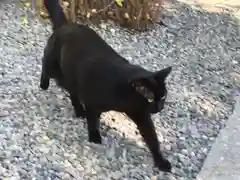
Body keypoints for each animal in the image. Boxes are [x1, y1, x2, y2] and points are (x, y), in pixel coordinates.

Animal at [41, 0, 172, 172]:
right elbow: (92, 120)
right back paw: (44, 84)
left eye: (163, 96)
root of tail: (67, 24)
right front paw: (94, 137)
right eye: (150, 99)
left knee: (73, 92)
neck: (125, 97)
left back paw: (79, 111)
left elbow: (152, 139)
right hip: (56, 69)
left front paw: (161, 161)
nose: (160, 107)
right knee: (45, 65)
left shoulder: (141, 115)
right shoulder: (92, 101)